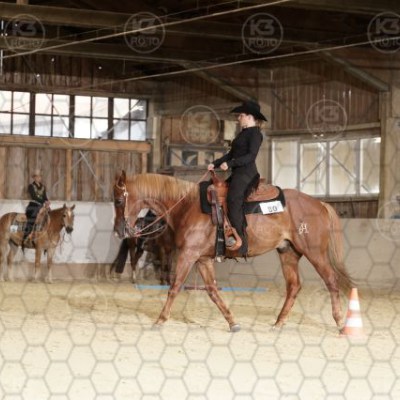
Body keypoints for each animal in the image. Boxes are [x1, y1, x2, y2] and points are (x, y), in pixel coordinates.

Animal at [113, 171, 353, 332]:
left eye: (118, 200)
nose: (118, 230)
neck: (187, 206)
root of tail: (320, 204)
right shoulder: (202, 259)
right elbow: (212, 291)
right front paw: (232, 322)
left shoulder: (188, 255)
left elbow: (175, 287)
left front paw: (160, 320)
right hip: (288, 252)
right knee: (294, 286)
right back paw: (278, 323)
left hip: (315, 253)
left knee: (331, 280)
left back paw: (341, 323)